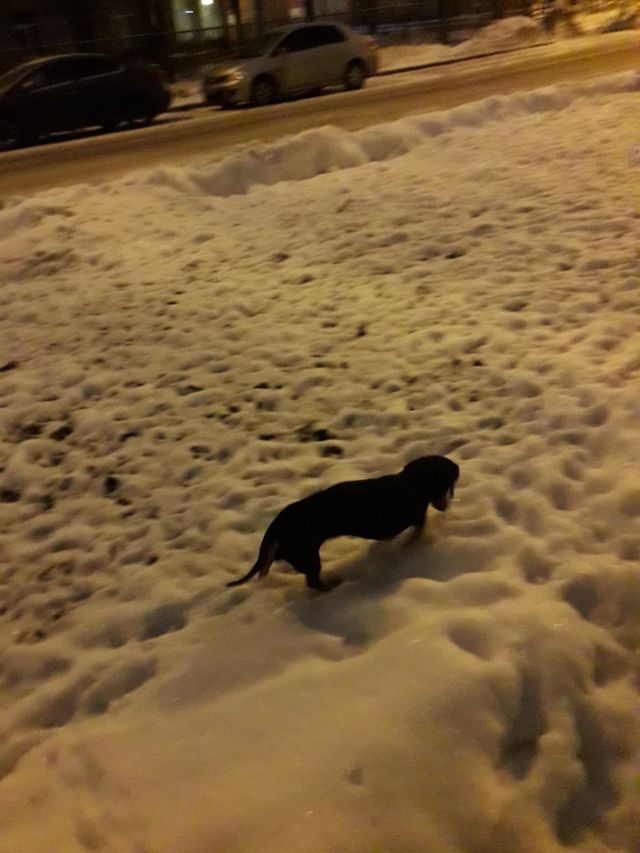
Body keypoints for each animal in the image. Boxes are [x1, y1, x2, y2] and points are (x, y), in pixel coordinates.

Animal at [226, 455, 459, 592]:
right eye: (445, 483)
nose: (444, 507)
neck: (413, 483)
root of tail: (278, 525)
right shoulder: (415, 518)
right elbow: (417, 532)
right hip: (308, 556)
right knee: (313, 582)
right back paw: (333, 586)